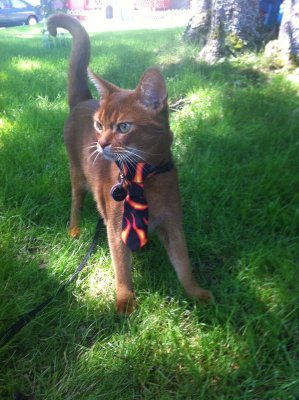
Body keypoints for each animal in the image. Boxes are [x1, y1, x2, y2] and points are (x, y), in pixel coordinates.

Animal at [47, 13, 213, 316]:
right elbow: (121, 266)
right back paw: (74, 230)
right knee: (76, 201)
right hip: (76, 174)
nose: (101, 143)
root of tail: (83, 100)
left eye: (124, 126)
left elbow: (183, 262)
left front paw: (196, 293)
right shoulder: (115, 227)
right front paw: (125, 300)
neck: (142, 176)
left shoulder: (173, 222)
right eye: (99, 125)